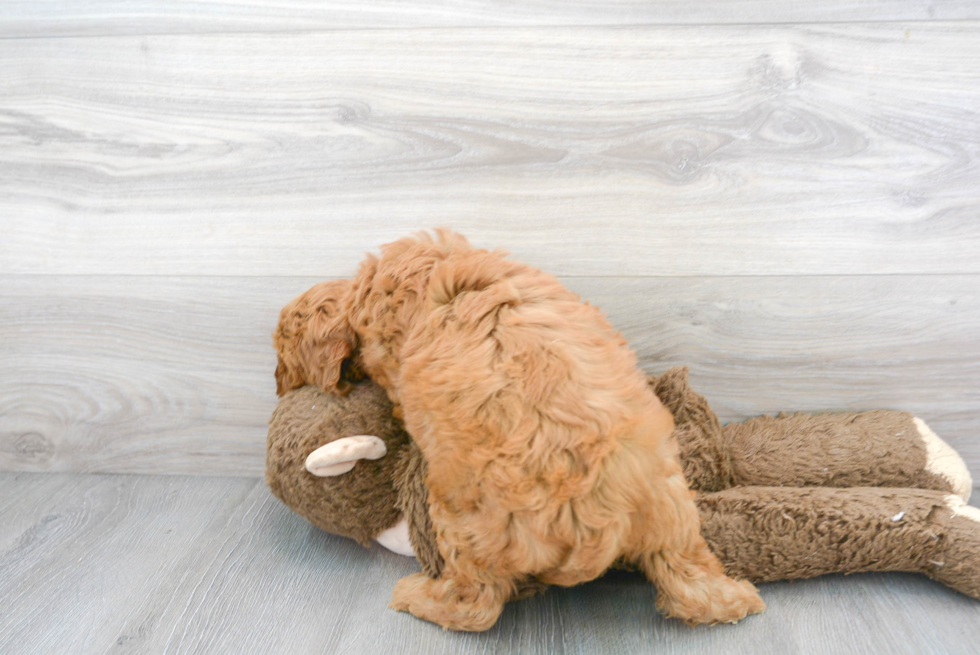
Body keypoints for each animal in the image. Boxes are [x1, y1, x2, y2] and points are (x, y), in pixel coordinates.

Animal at [276, 231, 764, 632]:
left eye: (281, 360)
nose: (279, 387)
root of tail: (596, 521)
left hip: (462, 522)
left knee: (474, 604)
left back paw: (420, 598)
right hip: (671, 506)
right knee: (691, 577)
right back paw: (736, 598)